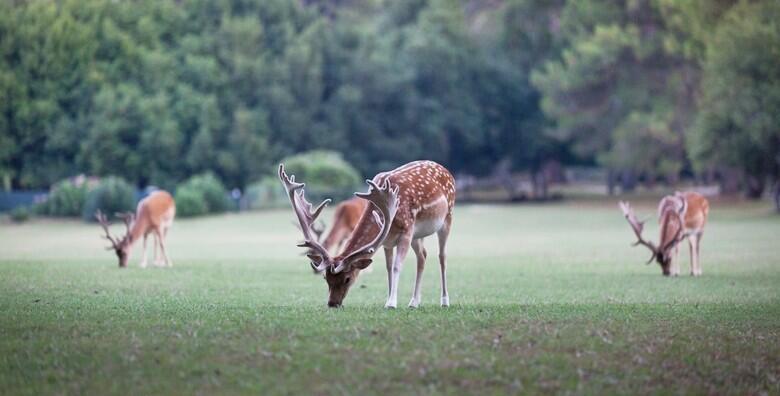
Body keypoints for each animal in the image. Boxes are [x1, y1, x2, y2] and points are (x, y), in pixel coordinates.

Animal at [280, 161, 454, 310]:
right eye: (325, 278)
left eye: (347, 278)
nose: (332, 303)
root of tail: (446, 170)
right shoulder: (387, 240)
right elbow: (388, 268)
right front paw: (388, 299)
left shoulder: (407, 230)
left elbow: (397, 266)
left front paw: (392, 303)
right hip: (418, 235)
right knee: (422, 256)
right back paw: (414, 302)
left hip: (447, 218)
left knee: (442, 256)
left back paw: (445, 301)